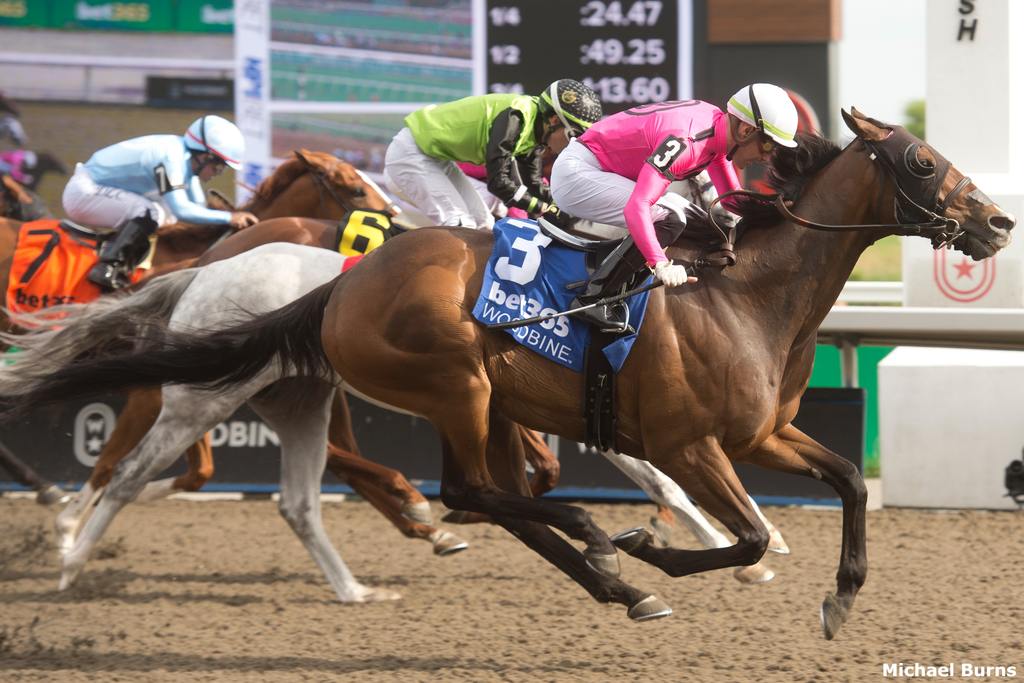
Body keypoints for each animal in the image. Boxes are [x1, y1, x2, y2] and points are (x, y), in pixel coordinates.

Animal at [14, 107, 1007, 634]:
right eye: (923, 159)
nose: (996, 223)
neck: (742, 290)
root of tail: (339, 288)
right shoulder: (689, 443)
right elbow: (750, 534)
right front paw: (657, 543)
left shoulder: (762, 433)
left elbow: (846, 478)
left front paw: (840, 596)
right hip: (454, 384)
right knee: (469, 491)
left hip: (427, 397)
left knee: (476, 496)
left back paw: (608, 577)